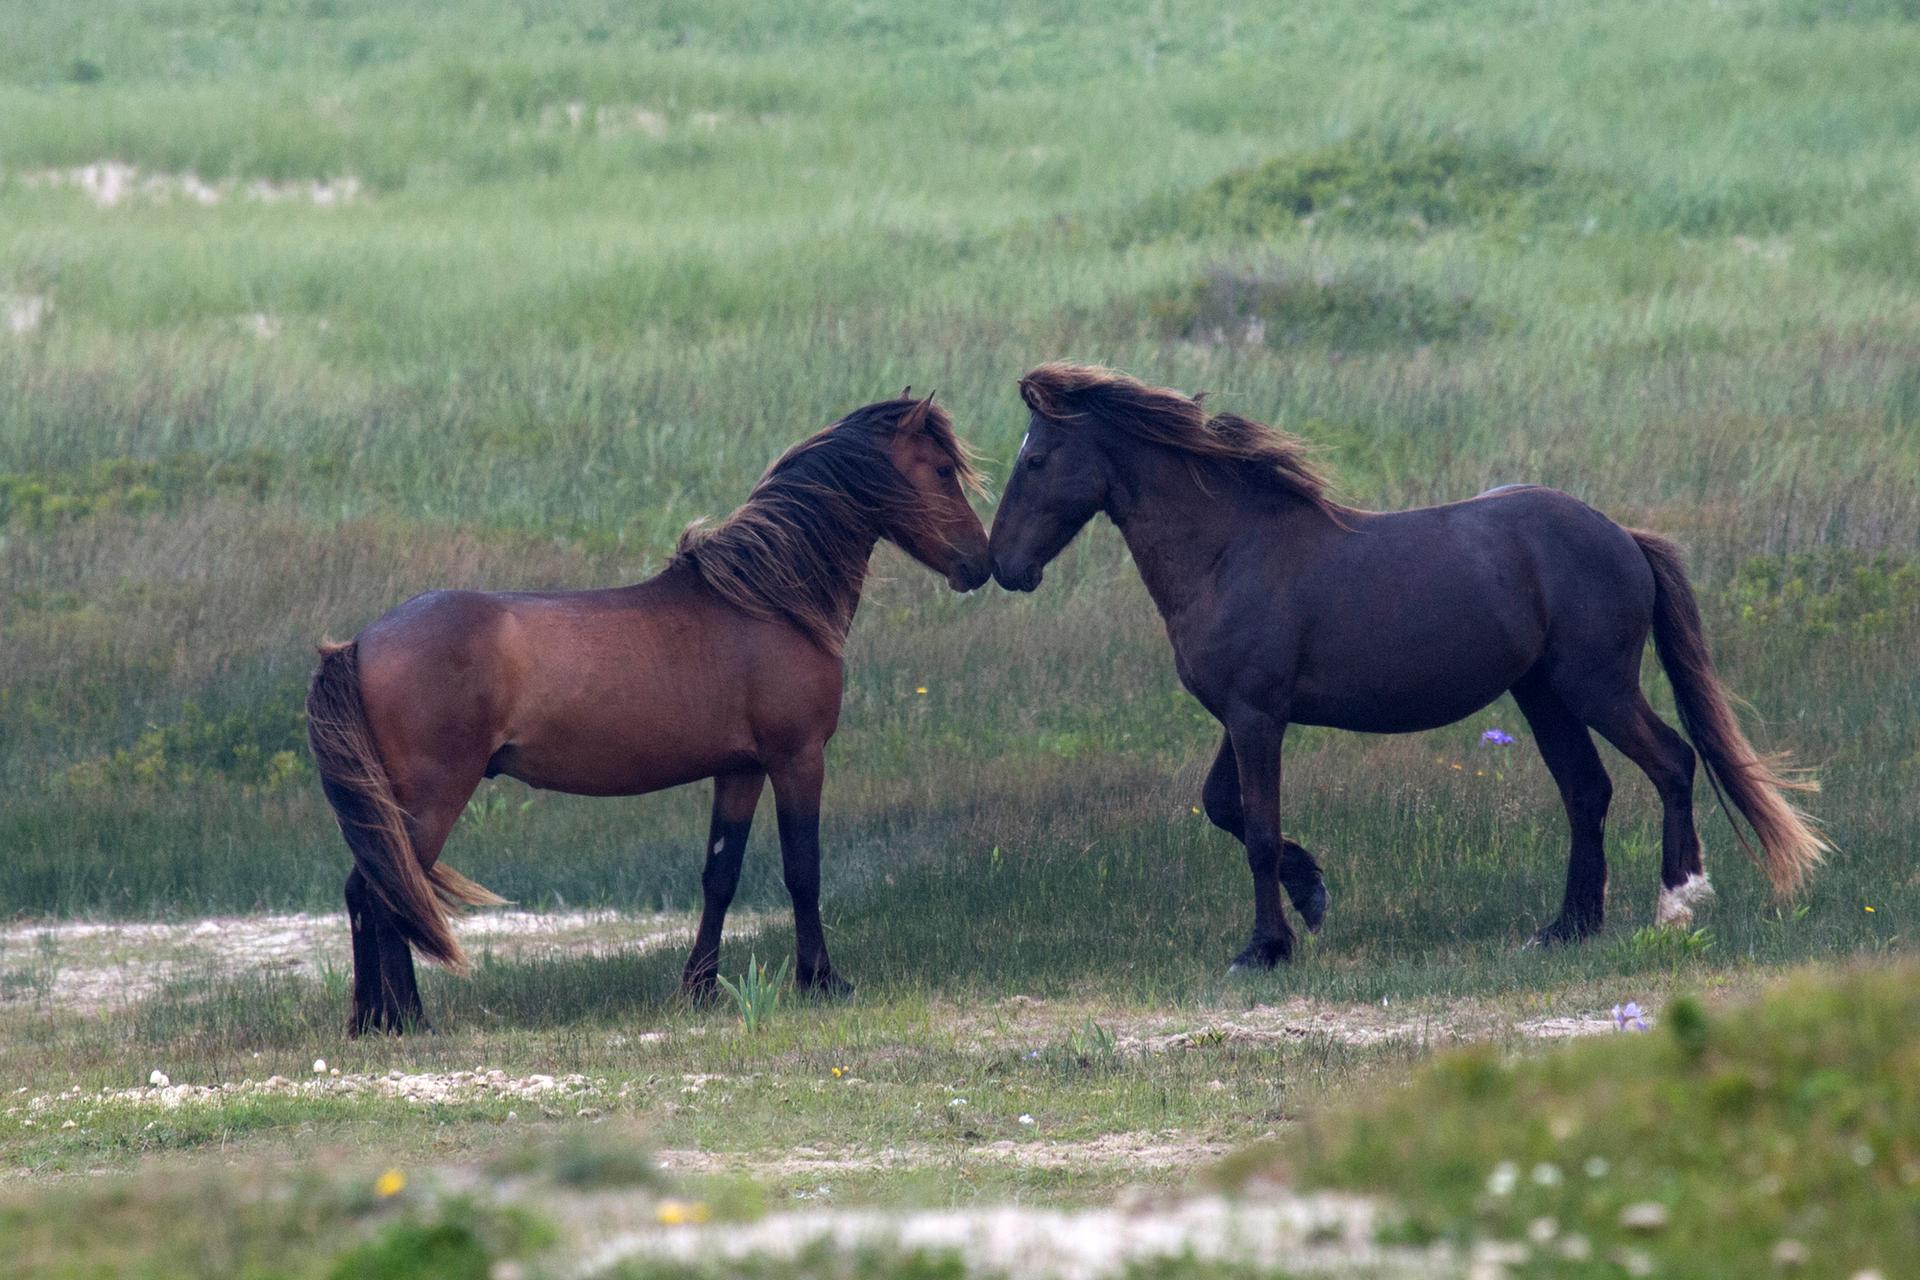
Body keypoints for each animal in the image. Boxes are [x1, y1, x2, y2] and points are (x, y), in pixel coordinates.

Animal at [311, 395, 990, 1036]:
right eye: (941, 469)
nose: (981, 563)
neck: (767, 602)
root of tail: (359, 644)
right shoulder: (797, 760)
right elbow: (804, 871)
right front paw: (822, 981)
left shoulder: (740, 770)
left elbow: (721, 875)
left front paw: (700, 988)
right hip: (432, 797)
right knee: (386, 891)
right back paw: (405, 1019)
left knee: (369, 891)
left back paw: (372, 1021)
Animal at [990, 362, 1827, 971]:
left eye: (1035, 458)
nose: (1003, 565)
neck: (1229, 551)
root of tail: (1623, 534)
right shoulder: (1241, 715)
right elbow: (1224, 807)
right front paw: (1313, 893)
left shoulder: (1258, 716)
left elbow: (1257, 830)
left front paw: (1266, 949)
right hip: (1544, 695)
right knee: (1588, 792)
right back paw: (1565, 928)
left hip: (1597, 686)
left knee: (1673, 761)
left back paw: (1678, 900)